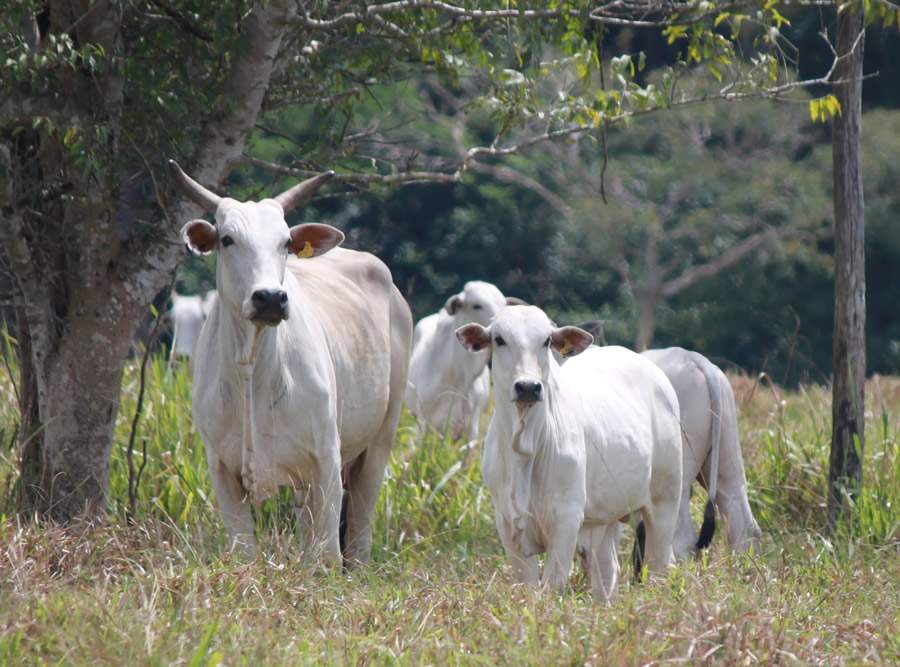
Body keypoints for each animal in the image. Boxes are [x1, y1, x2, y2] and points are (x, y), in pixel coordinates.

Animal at [171, 160, 414, 564]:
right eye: (227, 239)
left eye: (285, 242)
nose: (270, 297)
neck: (252, 367)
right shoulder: (221, 469)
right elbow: (245, 552)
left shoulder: (326, 461)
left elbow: (326, 556)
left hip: (380, 438)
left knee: (358, 532)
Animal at [458, 308, 684, 600]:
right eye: (499, 339)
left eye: (546, 341)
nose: (528, 387)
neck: (525, 449)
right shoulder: (507, 524)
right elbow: (529, 587)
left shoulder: (566, 520)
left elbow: (551, 586)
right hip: (605, 517)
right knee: (608, 570)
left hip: (665, 499)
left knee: (658, 567)